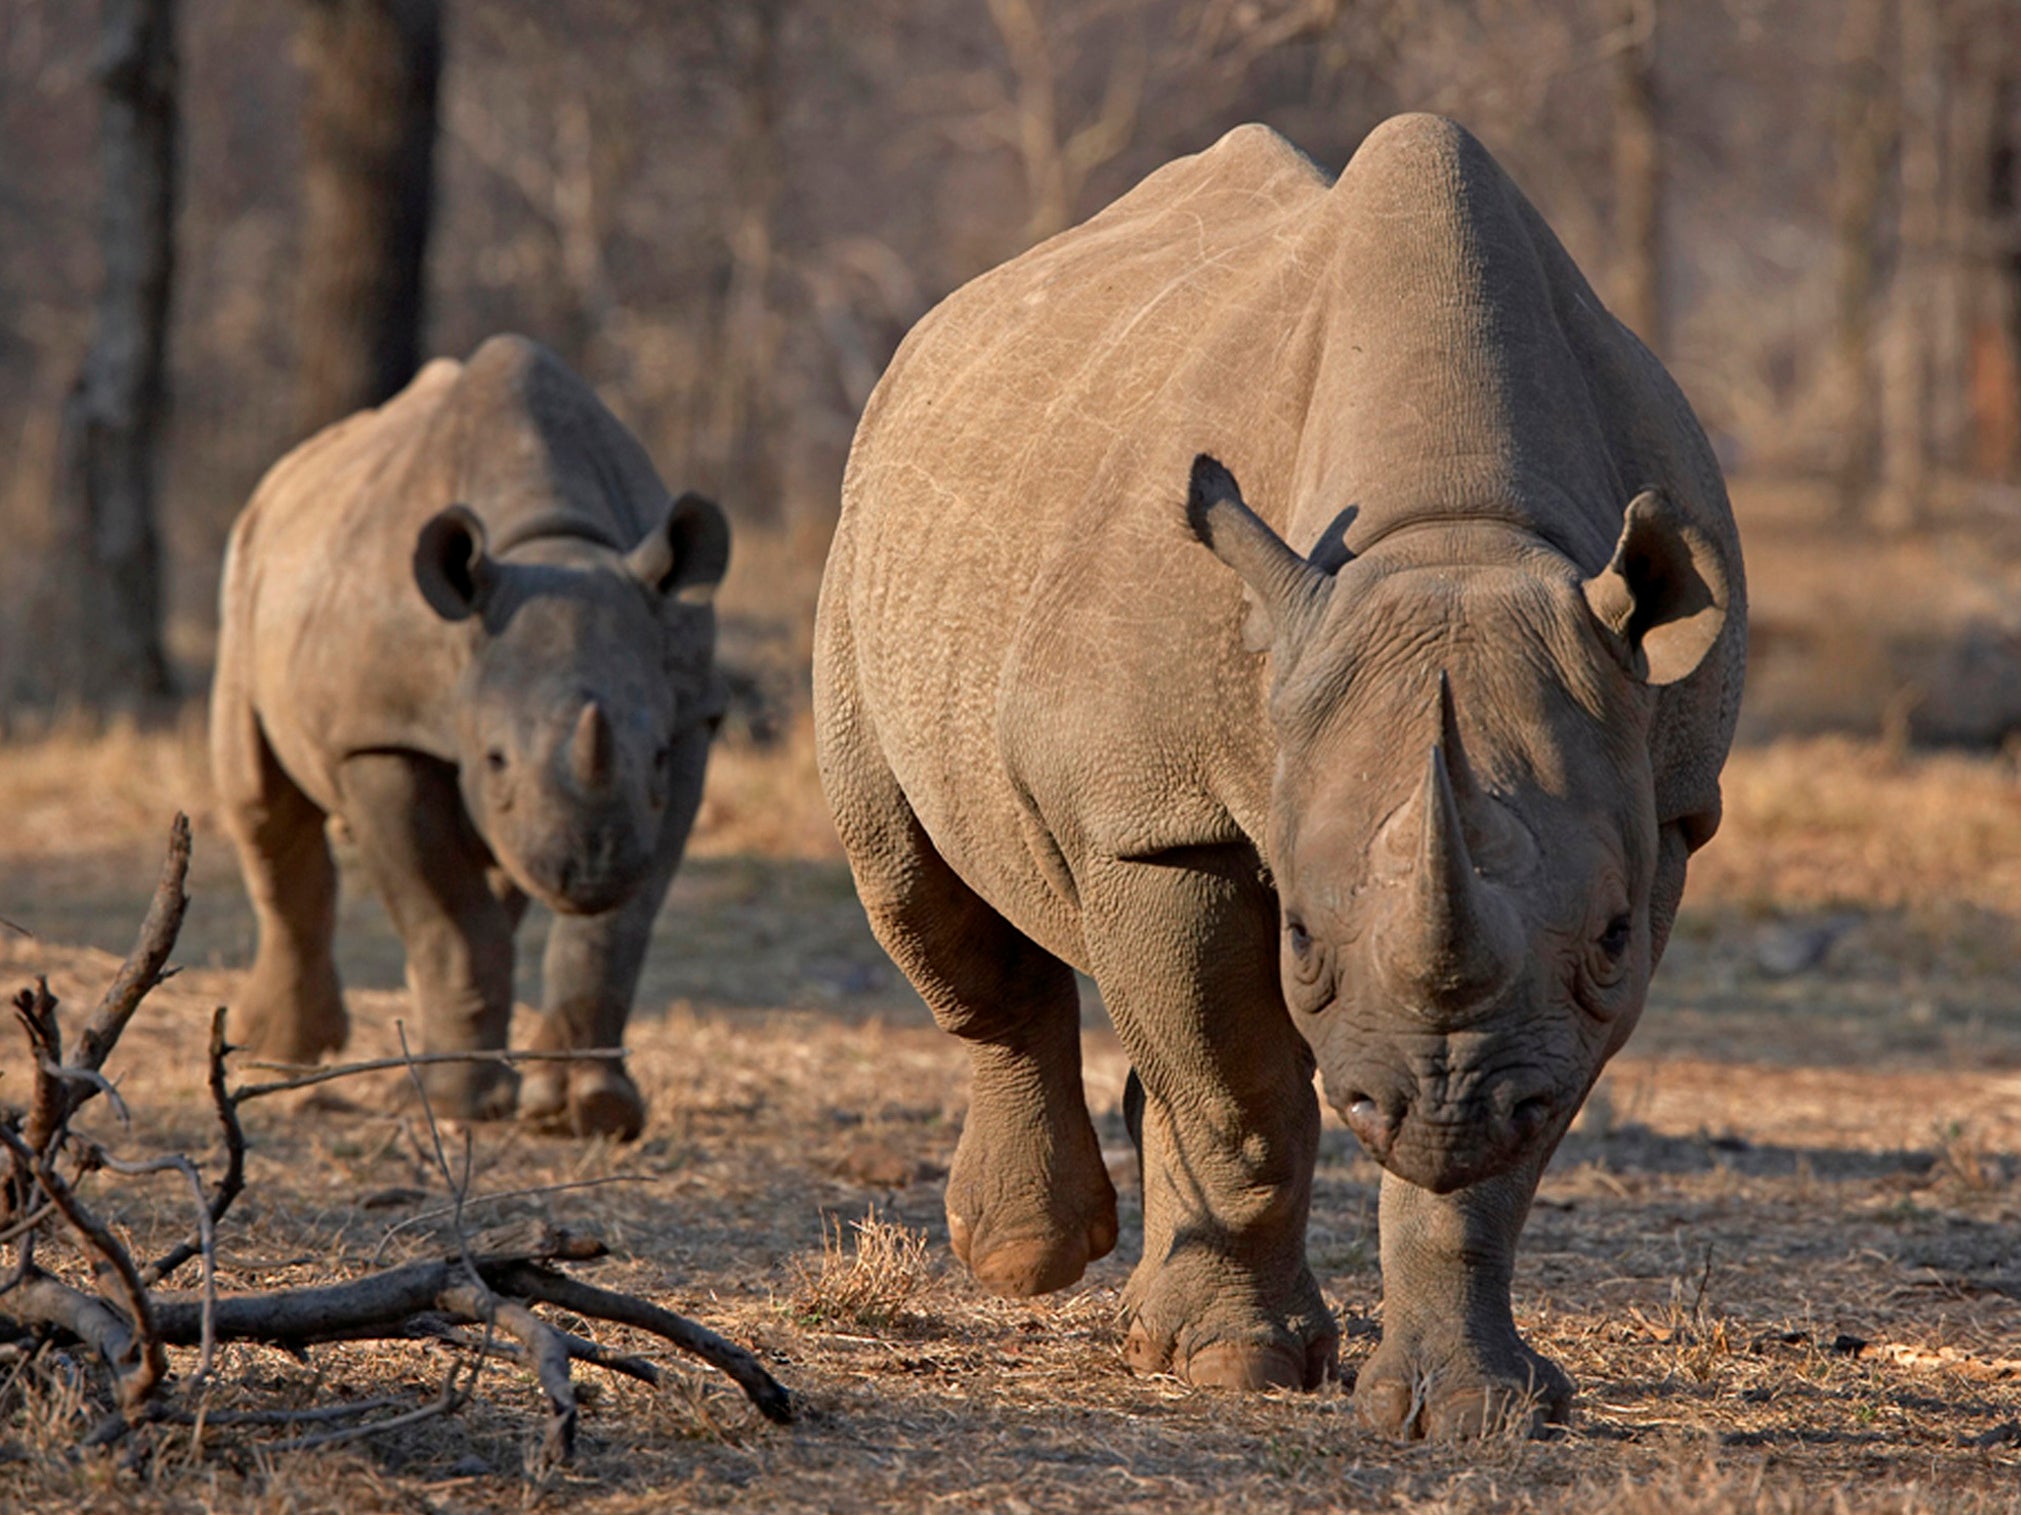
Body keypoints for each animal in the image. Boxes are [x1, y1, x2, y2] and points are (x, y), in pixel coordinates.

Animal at [213, 335, 731, 1139]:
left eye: (652, 757)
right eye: (494, 758)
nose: (591, 868)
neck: (552, 543)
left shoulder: (688, 717)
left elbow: (615, 930)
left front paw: (590, 1110)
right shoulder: (383, 734)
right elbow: (448, 921)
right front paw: (461, 1108)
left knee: (499, 871)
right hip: (247, 567)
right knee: (261, 805)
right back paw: (285, 1056)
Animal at [812, 118, 1746, 1438]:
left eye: (1612, 937)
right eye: (1300, 935)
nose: (1440, 1111)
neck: (1451, 531)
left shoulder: (1657, 814)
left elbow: (1502, 1149)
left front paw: (1473, 1411)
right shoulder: (1159, 816)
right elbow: (1242, 1094)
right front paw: (1234, 1366)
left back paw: (1141, 1315)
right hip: (872, 546)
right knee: (918, 883)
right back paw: (1030, 1260)